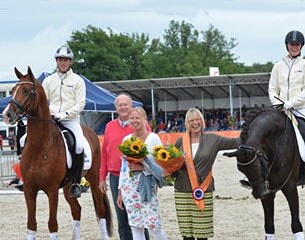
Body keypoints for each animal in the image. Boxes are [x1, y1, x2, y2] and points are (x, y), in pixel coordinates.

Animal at [2, 67, 111, 240]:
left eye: (26, 90)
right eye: (12, 90)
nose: (7, 115)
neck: (40, 146)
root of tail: (92, 133)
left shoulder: (52, 191)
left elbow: (52, 225)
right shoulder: (29, 190)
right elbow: (31, 225)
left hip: (94, 179)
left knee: (100, 212)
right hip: (68, 187)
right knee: (76, 210)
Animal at [222, 108, 302, 239]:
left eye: (257, 165)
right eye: (240, 169)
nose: (259, 194)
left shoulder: (290, 187)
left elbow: (296, 224)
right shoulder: (268, 189)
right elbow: (269, 225)